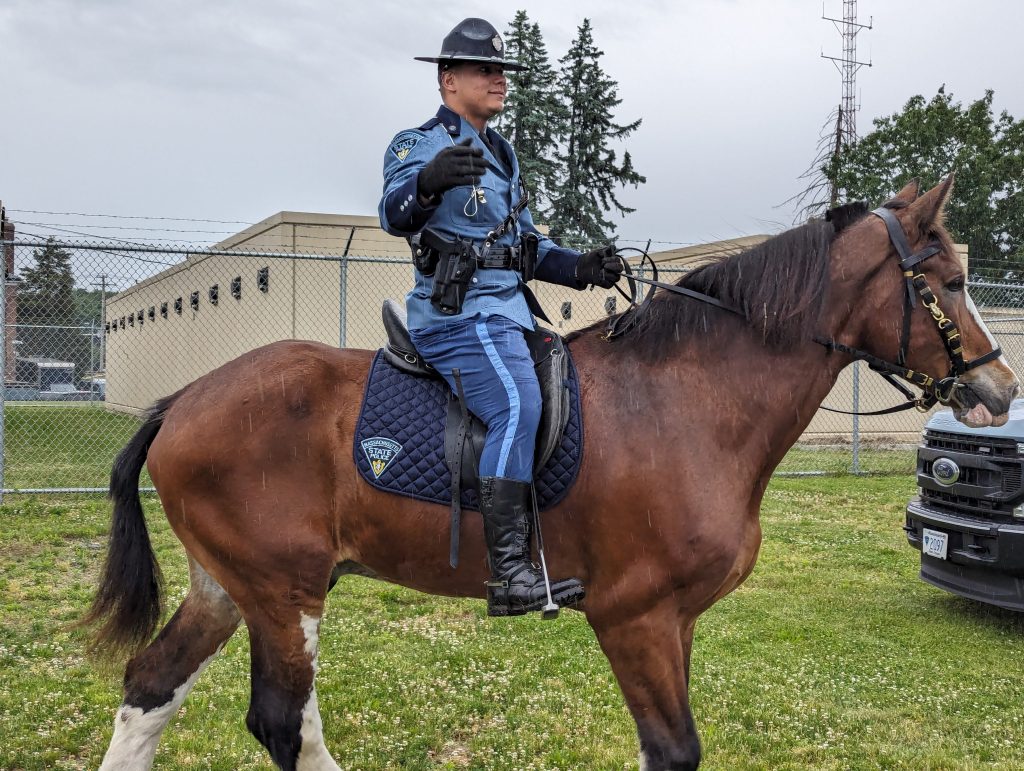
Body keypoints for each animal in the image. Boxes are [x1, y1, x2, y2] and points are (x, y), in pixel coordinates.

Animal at [83, 177, 1018, 770]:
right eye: (947, 281)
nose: (1000, 390)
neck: (686, 398)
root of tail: (183, 399)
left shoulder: (677, 622)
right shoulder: (634, 616)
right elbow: (674, 750)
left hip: (230, 586)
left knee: (150, 688)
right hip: (284, 591)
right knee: (283, 725)